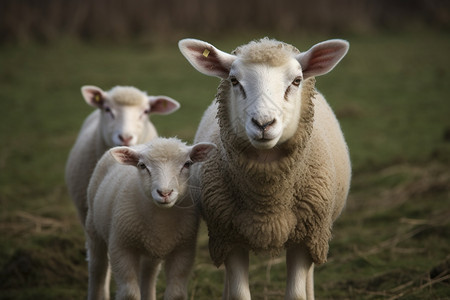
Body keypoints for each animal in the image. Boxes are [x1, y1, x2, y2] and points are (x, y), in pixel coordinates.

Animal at [86, 137, 218, 298]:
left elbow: (176, 293)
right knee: (97, 267)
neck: (161, 219)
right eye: (142, 166)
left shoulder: (183, 250)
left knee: (149, 274)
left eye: (187, 164)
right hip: (93, 227)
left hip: (152, 250)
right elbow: (129, 293)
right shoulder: (121, 247)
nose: (165, 193)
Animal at [178, 38, 352, 300]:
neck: (267, 204)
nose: (263, 123)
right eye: (234, 80)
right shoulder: (228, 237)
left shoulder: (306, 237)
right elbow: (239, 294)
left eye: (296, 81)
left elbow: (297, 294)